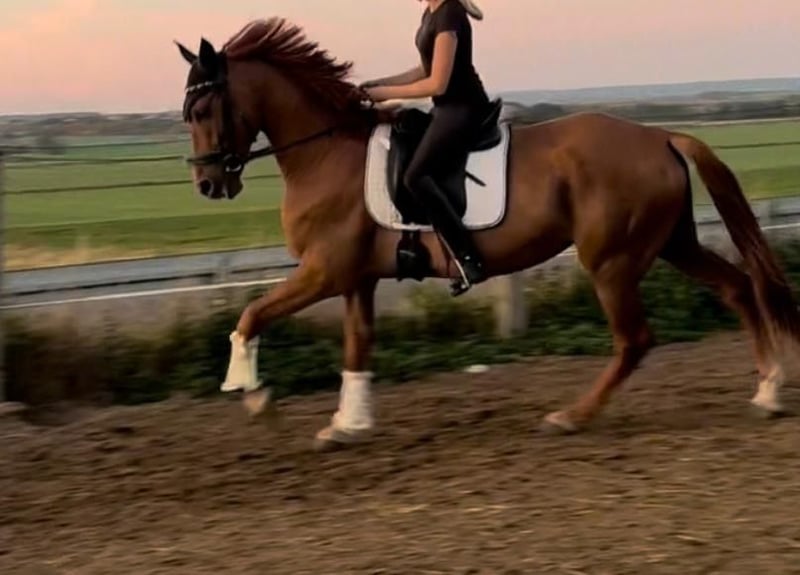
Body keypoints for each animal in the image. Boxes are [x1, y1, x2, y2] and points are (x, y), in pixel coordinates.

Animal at [175, 18, 800, 451]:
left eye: (203, 109)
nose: (208, 183)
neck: (327, 154)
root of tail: (660, 134)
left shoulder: (324, 272)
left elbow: (251, 314)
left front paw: (255, 398)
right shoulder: (356, 278)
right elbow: (357, 346)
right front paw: (347, 425)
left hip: (612, 261)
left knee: (635, 341)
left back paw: (570, 417)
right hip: (671, 242)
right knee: (738, 289)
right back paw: (767, 391)